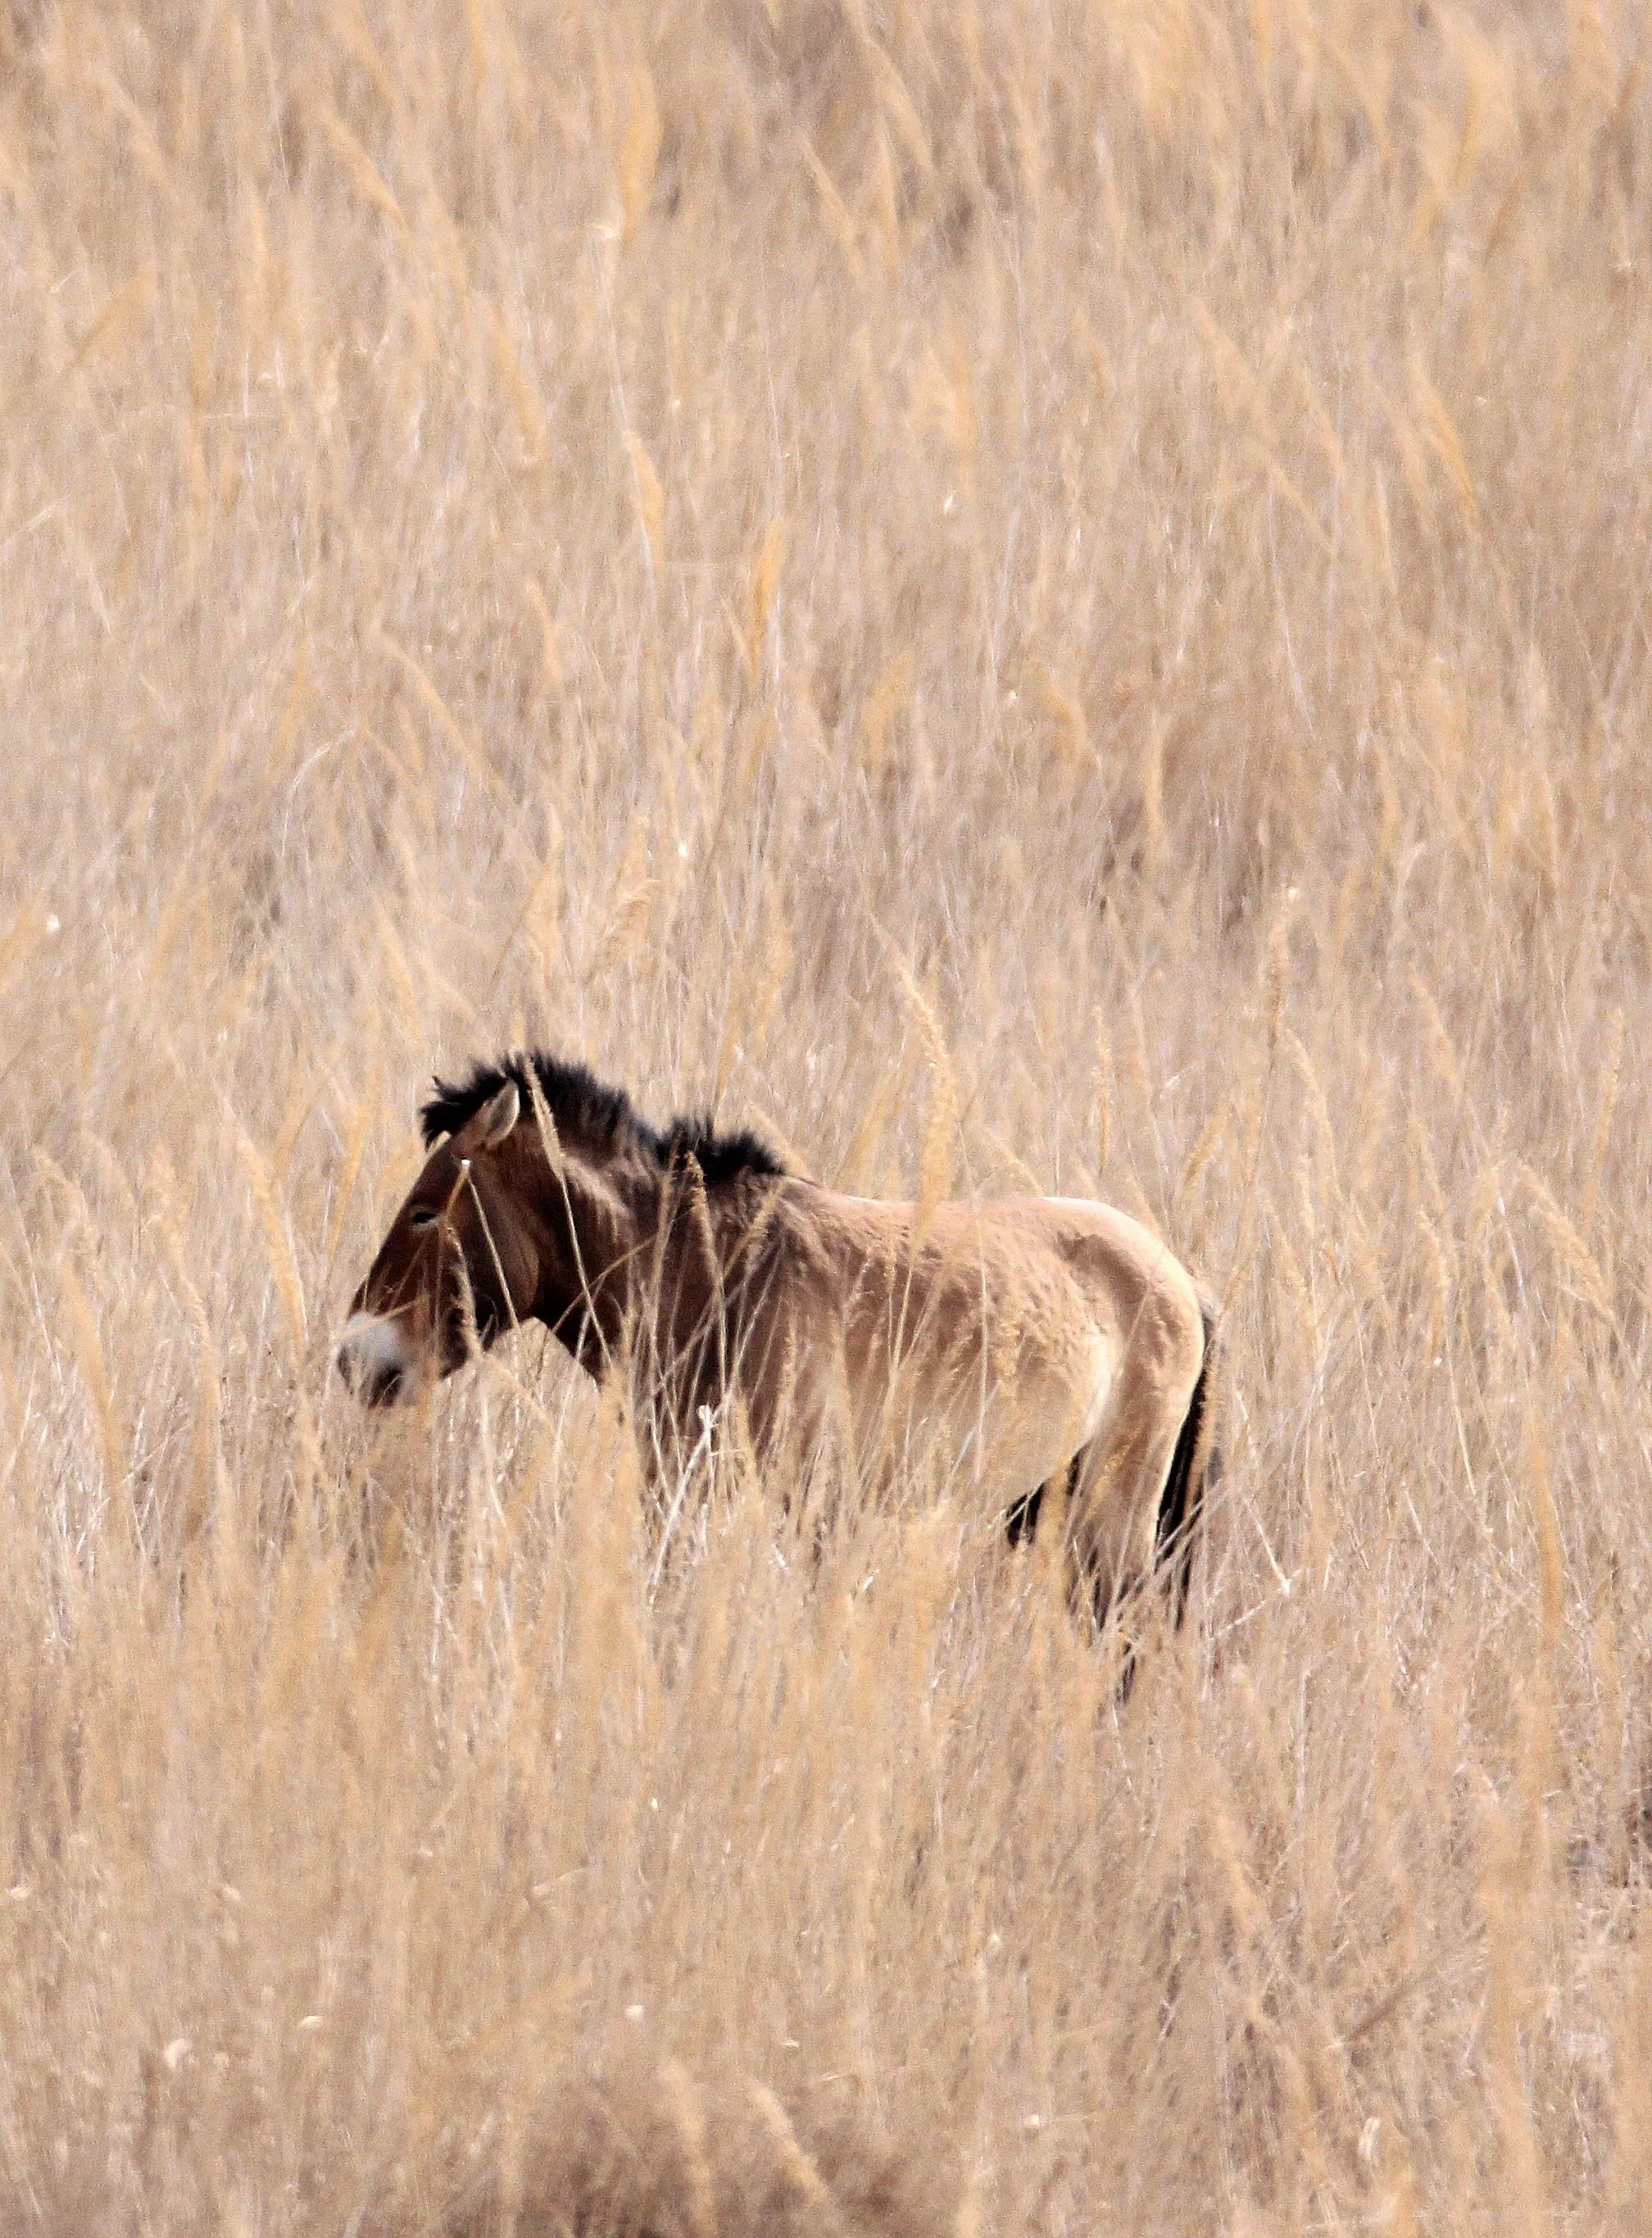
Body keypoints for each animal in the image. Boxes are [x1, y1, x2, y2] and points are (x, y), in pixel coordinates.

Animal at [337, 1052, 1219, 1629]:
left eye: (424, 1211)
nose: (353, 1358)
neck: (714, 1276)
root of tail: (1181, 1278)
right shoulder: (679, 1484)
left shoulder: (812, 1501)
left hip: (1114, 1511)